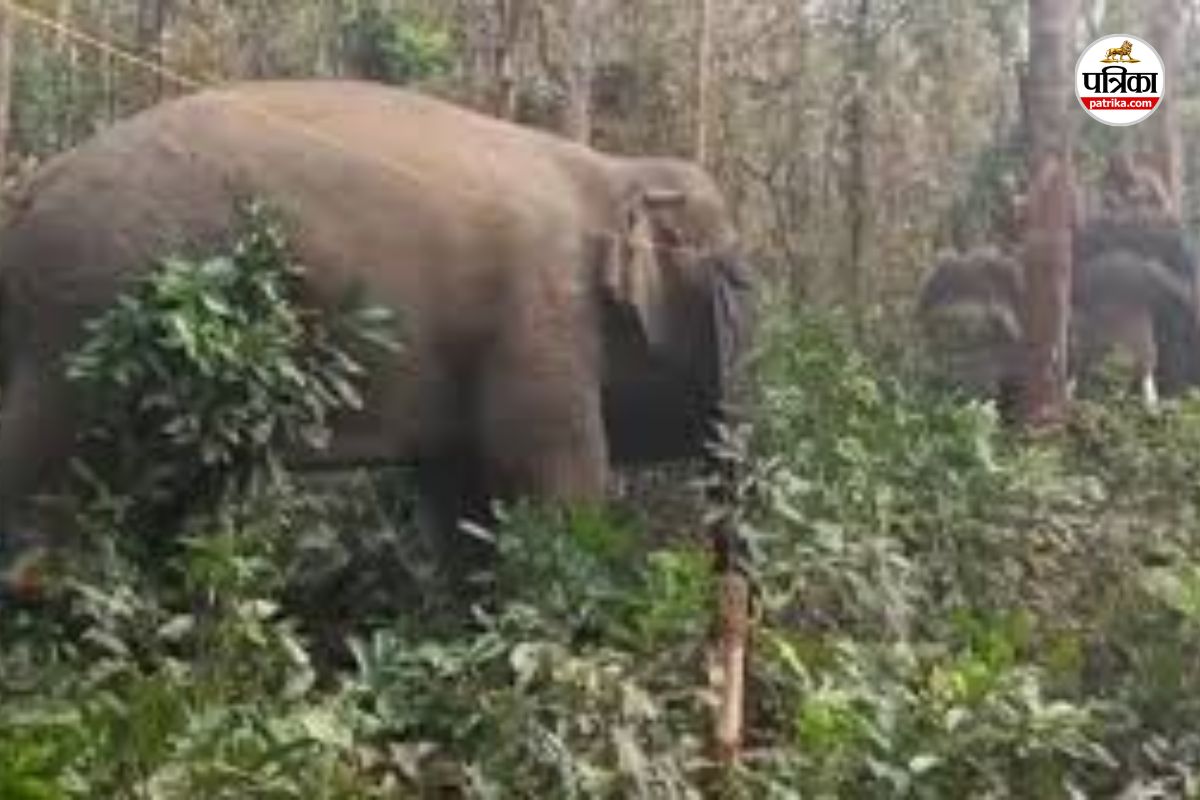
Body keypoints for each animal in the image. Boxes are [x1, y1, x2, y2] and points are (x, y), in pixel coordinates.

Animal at [0, 80, 753, 578]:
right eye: (741, 284)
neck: (615, 168)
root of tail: (29, 191)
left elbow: (461, 496)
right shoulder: (542, 314)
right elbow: (555, 477)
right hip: (87, 320)